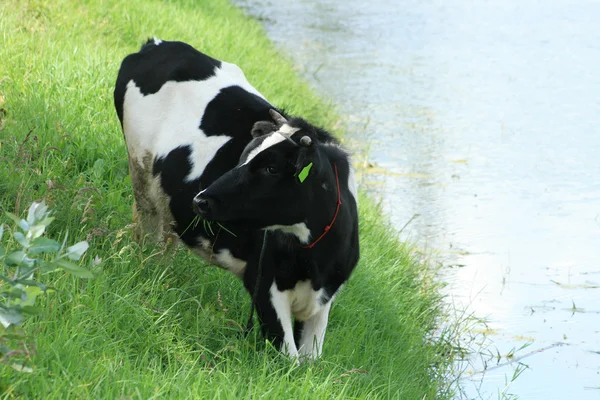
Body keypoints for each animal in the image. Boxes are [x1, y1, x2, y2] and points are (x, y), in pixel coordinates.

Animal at [112, 39, 358, 360]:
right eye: (244, 155)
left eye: (271, 168)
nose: (201, 200)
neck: (315, 259)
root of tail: (158, 44)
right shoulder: (264, 286)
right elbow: (290, 359)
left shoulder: (324, 300)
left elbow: (310, 361)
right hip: (140, 175)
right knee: (147, 230)